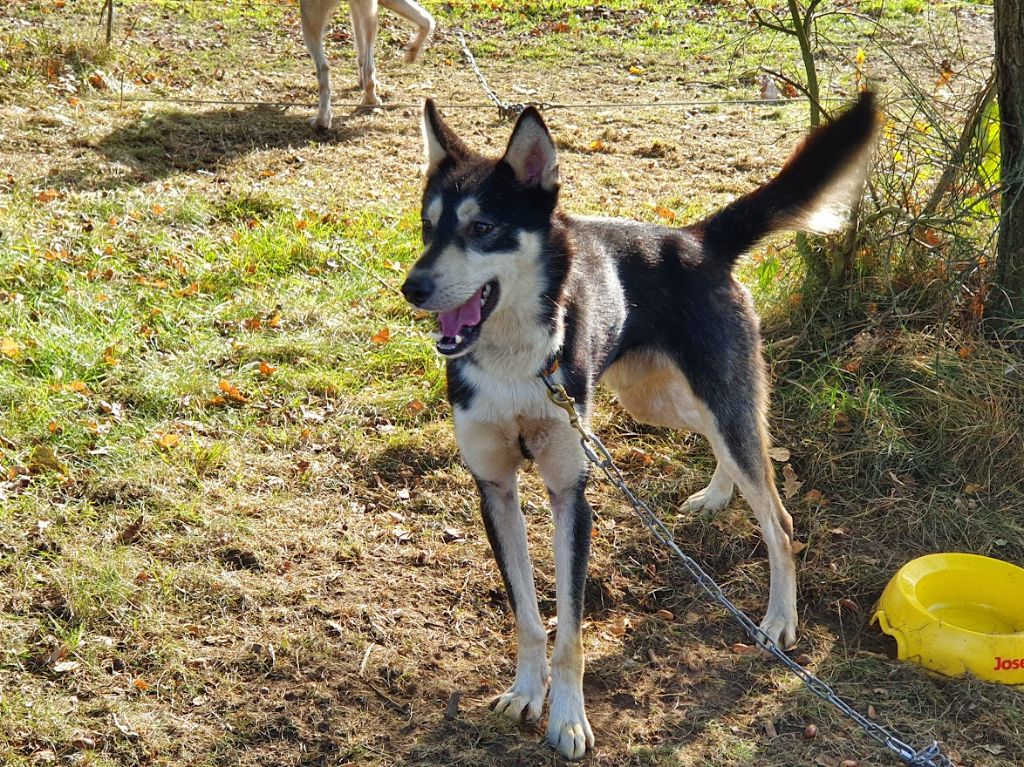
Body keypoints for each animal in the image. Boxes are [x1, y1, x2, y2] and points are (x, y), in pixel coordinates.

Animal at [399, 95, 880, 761]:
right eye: (428, 227)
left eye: (482, 228)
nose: (412, 287)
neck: (514, 362)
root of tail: (698, 239)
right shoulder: (494, 488)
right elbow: (528, 617)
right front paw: (526, 692)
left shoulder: (571, 493)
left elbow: (570, 633)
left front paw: (568, 719)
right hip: (652, 398)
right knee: (730, 446)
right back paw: (718, 493)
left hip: (712, 396)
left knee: (776, 513)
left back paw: (781, 616)